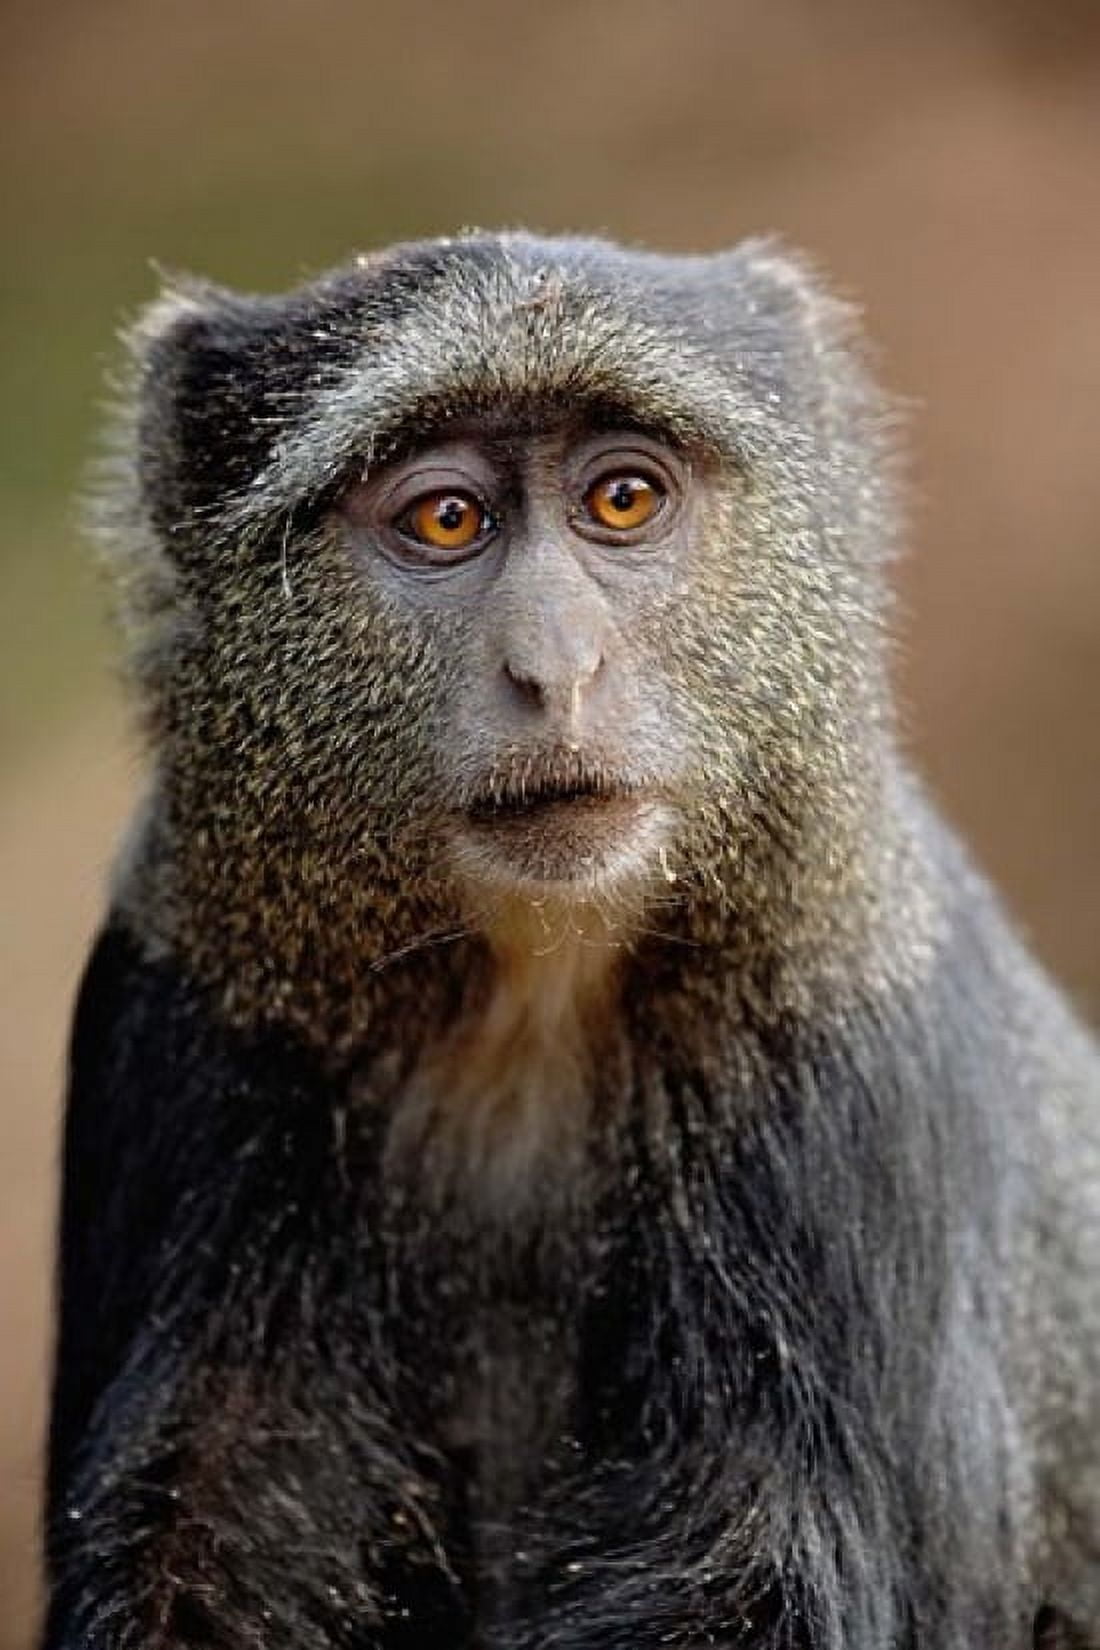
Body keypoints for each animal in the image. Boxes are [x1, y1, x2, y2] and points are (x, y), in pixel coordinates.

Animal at [42, 231, 1100, 1650]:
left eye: (622, 499)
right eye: (445, 519)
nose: (554, 669)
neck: (525, 1007)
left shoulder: (841, 1063)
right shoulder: (191, 1022)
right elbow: (203, 1525)